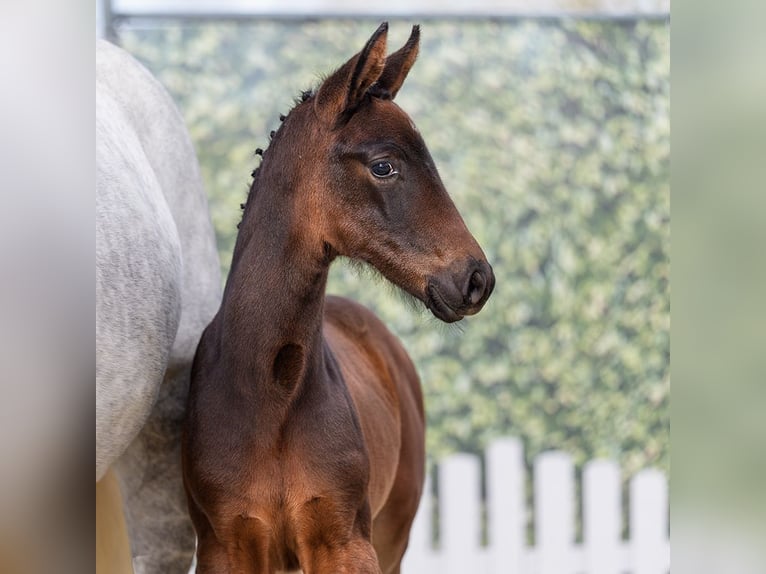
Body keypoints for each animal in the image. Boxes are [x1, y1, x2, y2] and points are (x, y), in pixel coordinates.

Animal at [182, 23, 495, 574]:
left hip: (393, 536)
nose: (477, 278)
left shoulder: (345, 542)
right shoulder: (226, 545)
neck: (269, 393)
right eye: (384, 166)